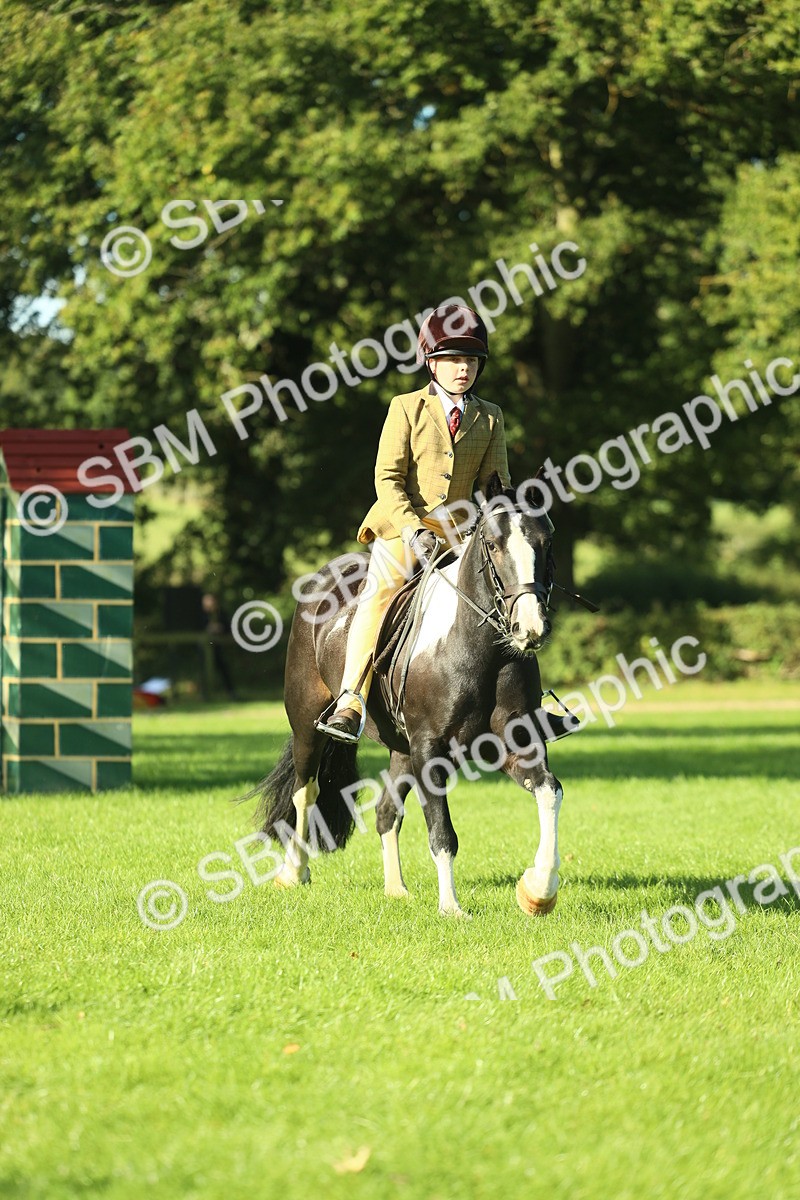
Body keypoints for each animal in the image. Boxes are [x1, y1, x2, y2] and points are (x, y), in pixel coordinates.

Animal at [246, 470, 571, 917]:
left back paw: (396, 889)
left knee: (386, 812)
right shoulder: (429, 749)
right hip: (307, 726)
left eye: (547, 541)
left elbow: (549, 791)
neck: (480, 649)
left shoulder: (513, 742)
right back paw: (294, 873)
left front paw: (538, 890)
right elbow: (442, 832)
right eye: (492, 544)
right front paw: (451, 908)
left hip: (400, 747)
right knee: (305, 793)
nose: (530, 628)